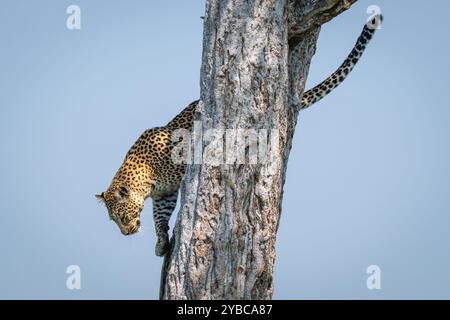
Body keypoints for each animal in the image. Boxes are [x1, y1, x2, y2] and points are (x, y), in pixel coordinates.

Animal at [96, 15, 384, 256]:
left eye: (122, 218)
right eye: (115, 220)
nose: (127, 233)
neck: (145, 177)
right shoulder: (163, 195)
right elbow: (159, 217)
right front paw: (160, 243)